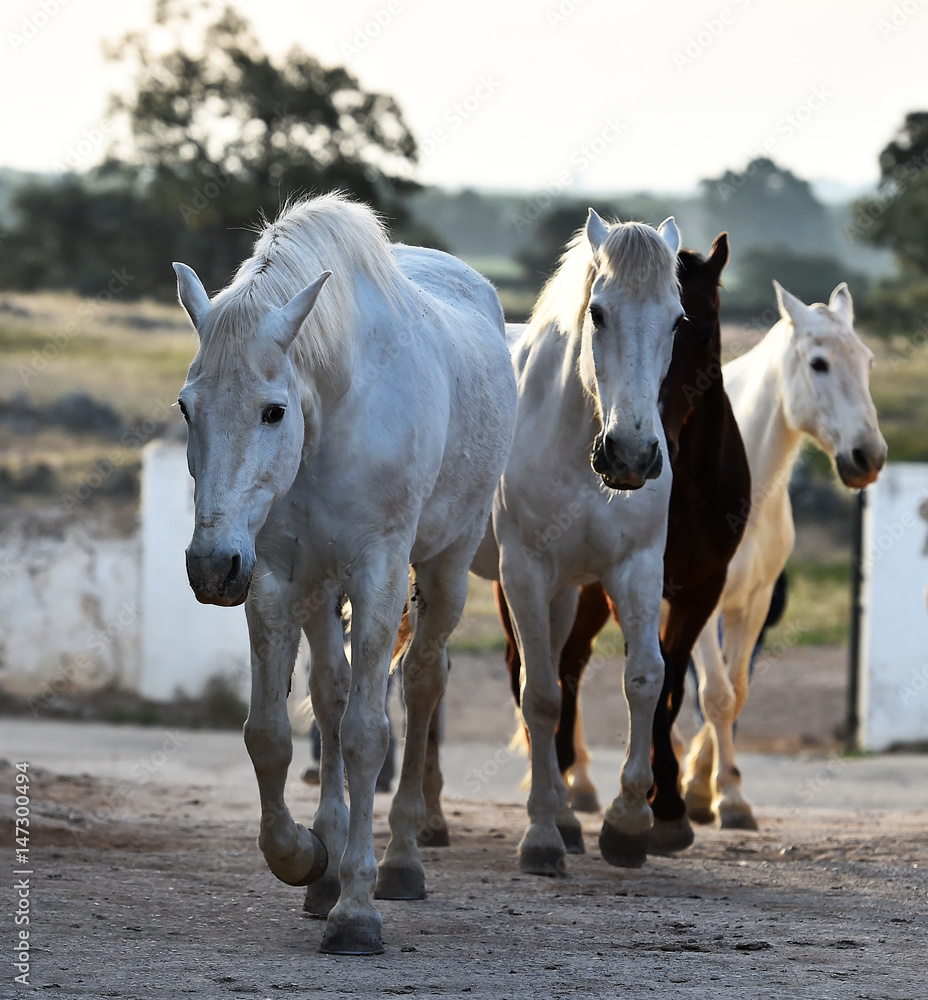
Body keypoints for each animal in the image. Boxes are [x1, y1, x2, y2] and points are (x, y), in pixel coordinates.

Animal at [173, 193, 517, 955]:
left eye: (272, 410)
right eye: (186, 407)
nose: (209, 566)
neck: (334, 410)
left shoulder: (380, 571)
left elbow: (366, 734)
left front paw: (357, 911)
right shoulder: (273, 578)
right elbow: (272, 733)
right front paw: (305, 856)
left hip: (444, 568)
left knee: (420, 686)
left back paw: (401, 863)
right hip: (319, 588)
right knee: (327, 696)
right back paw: (325, 871)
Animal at [470, 208, 684, 875]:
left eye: (678, 319)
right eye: (599, 312)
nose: (632, 455)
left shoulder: (637, 569)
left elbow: (644, 678)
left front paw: (628, 823)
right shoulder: (524, 572)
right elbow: (538, 696)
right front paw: (539, 835)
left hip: (564, 594)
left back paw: (569, 820)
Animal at [681, 280, 886, 829]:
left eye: (867, 360)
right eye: (818, 363)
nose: (869, 456)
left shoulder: (753, 602)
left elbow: (734, 691)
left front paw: (709, 791)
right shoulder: (697, 600)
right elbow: (713, 695)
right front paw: (718, 798)